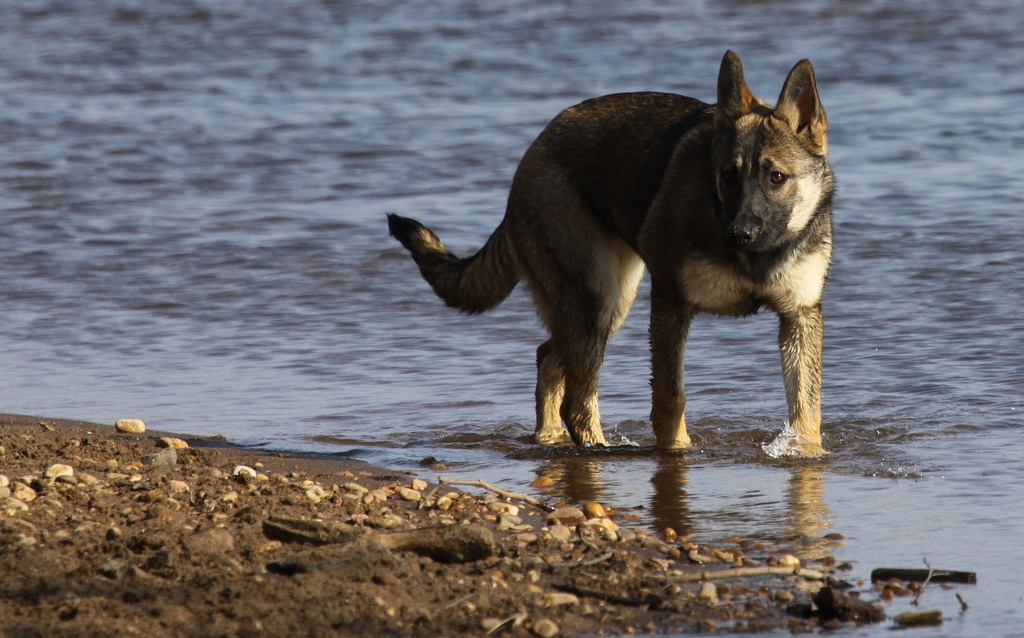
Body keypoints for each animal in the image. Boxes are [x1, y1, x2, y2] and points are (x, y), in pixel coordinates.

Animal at [389, 52, 831, 456]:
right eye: (728, 177)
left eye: (776, 178)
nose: (738, 233)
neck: (756, 258)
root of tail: (534, 151)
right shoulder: (671, 305)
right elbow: (670, 398)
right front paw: (676, 452)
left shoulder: (799, 317)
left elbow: (806, 406)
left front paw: (807, 453)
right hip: (600, 300)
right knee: (576, 398)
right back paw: (596, 447)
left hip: (600, 307)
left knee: (550, 360)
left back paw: (549, 439)